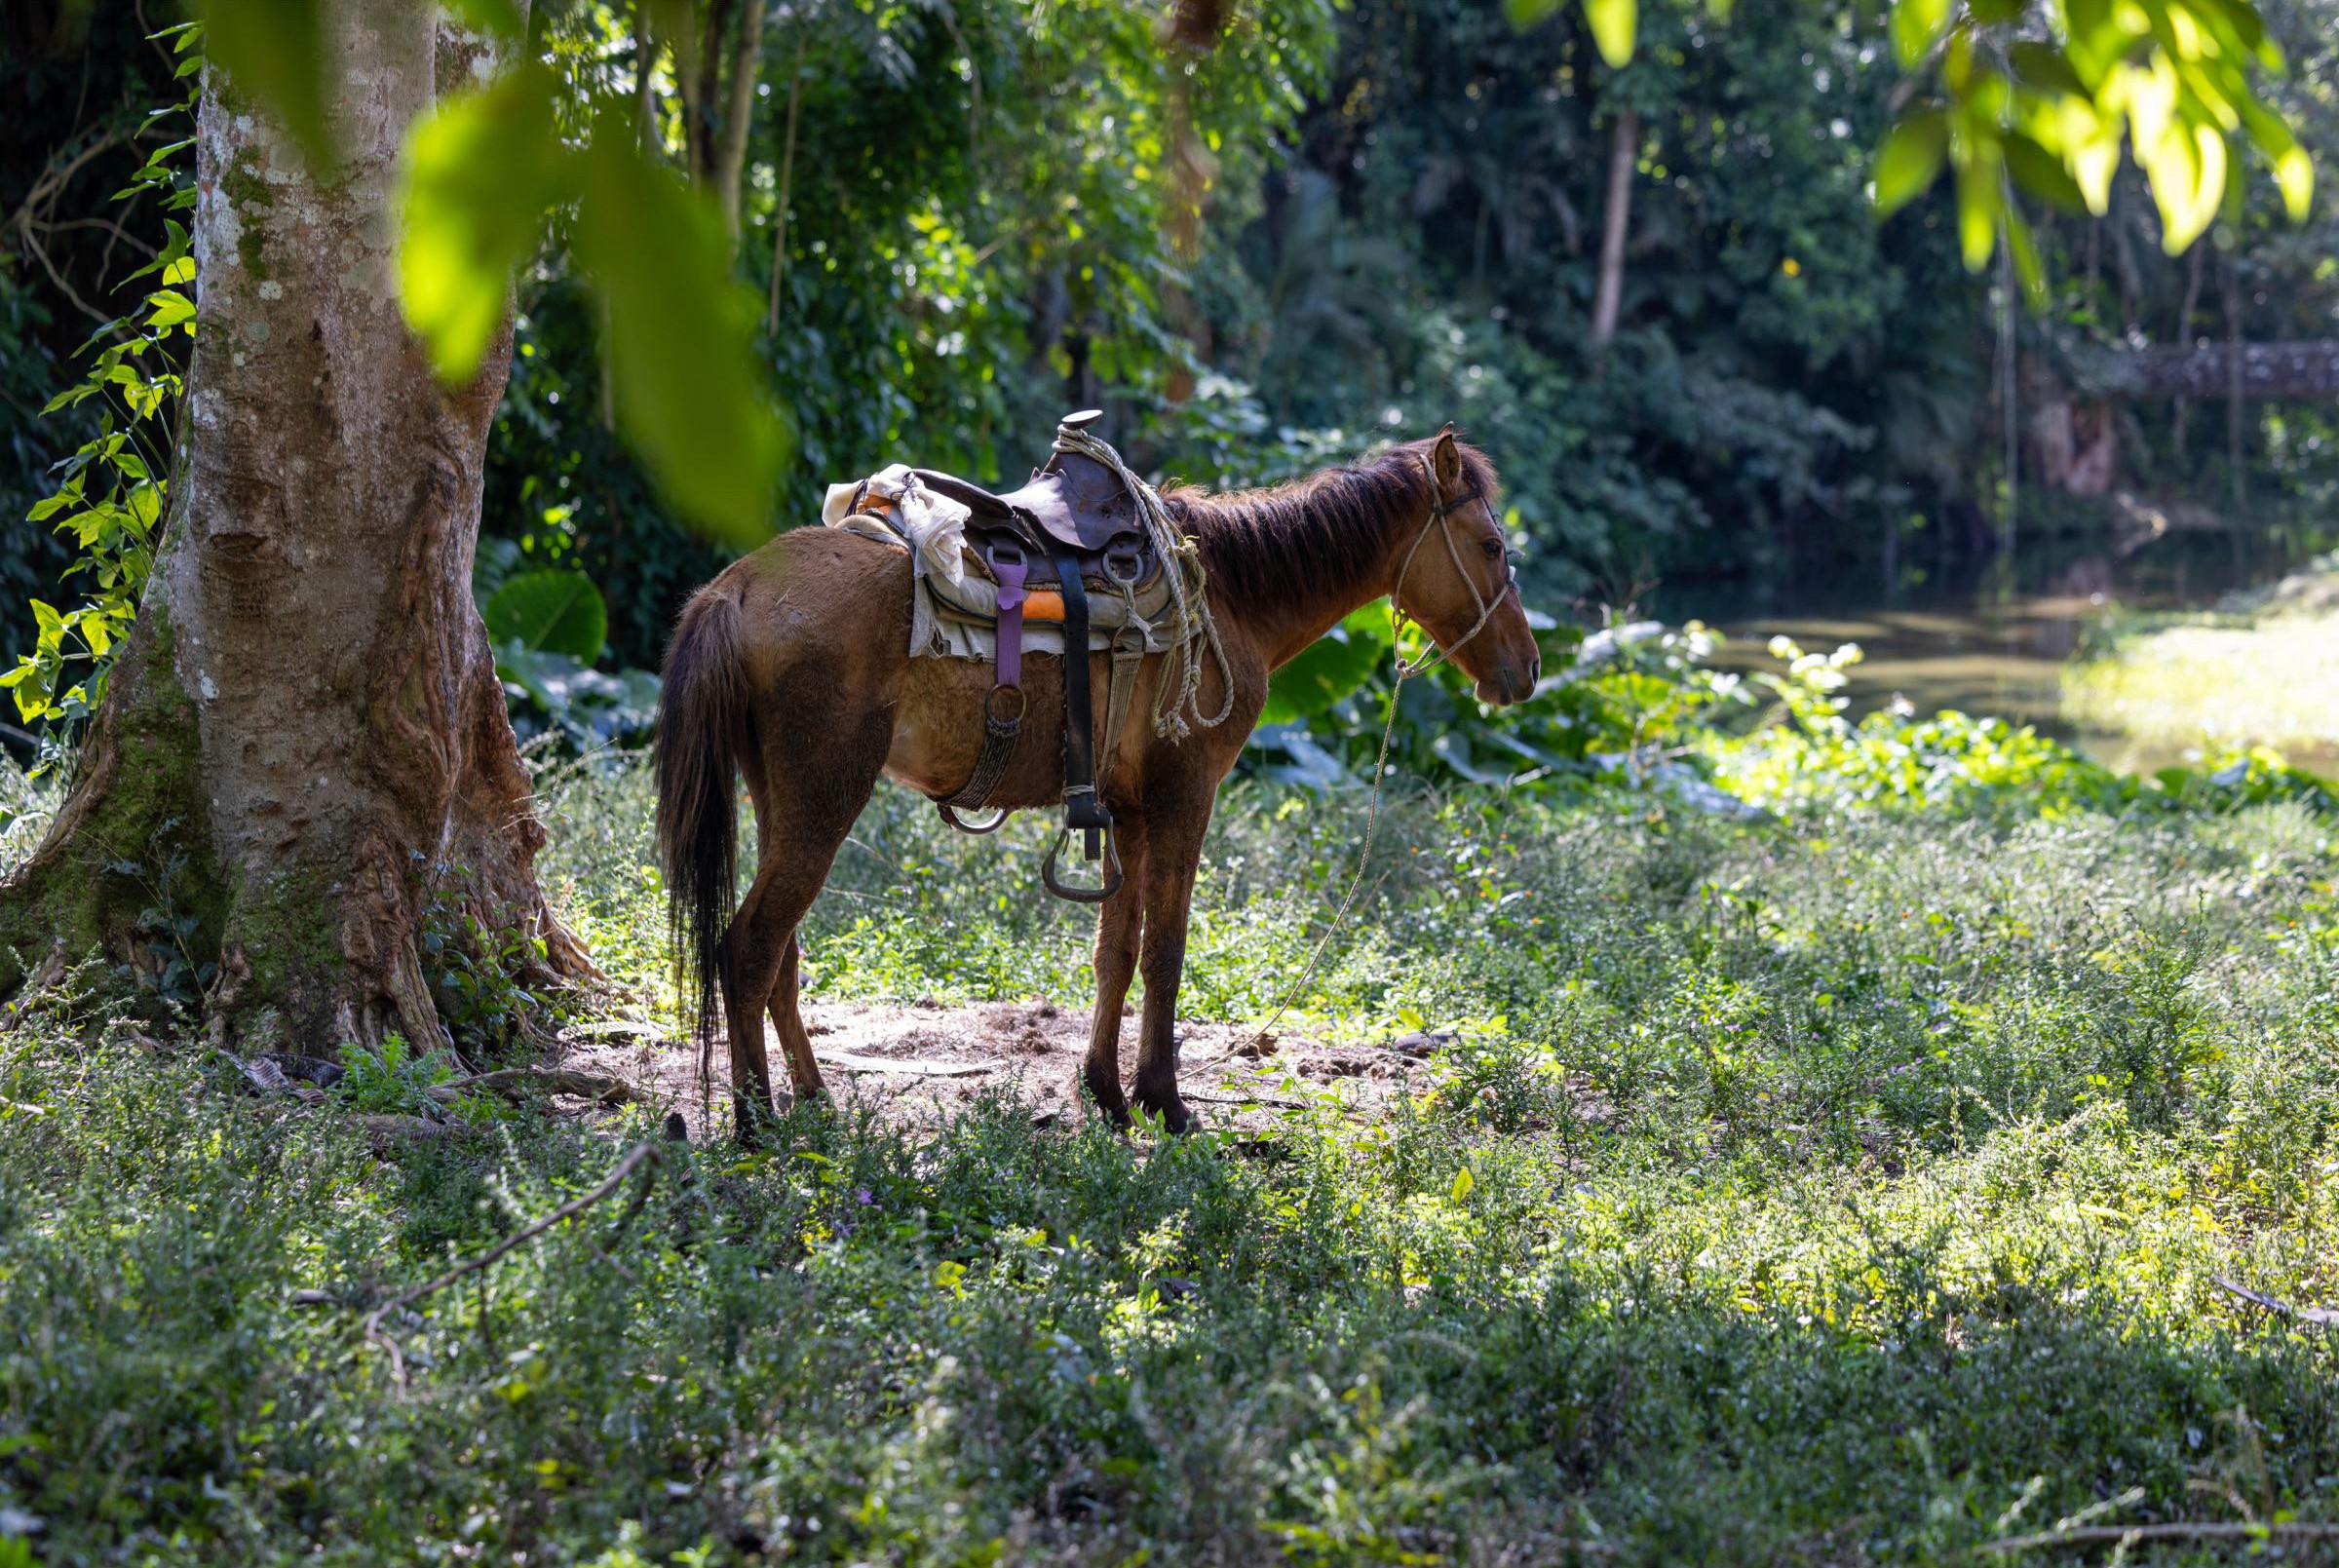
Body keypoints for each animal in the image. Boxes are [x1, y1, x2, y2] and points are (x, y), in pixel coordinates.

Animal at [655, 430, 1534, 1141]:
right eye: (1492, 546)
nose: (1526, 671)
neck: (1232, 591)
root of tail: (735, 587)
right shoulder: (1185, 797)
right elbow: (1166, 952)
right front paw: (1165, 1102)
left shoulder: (1129, 809)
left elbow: (1117, 951)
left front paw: (1107, 1094)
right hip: (823, 802)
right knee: (748, 948)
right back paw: (756, 1123)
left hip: (781, 800)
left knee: (781, 957)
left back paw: (813, 1101)